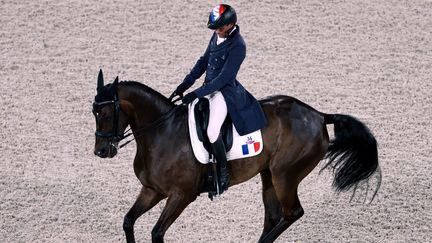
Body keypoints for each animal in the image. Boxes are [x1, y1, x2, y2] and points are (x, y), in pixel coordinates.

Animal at [92, 69, 382, 242]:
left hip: (285, 176)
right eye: (93, 112)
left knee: (292, 213)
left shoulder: (181, 195)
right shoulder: (152, 190)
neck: (162, 133)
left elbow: (156, 232)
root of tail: (319, 115)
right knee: (274, 217)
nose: (101, 151)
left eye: (105, 113)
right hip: (268, 176)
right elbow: (128, 221)